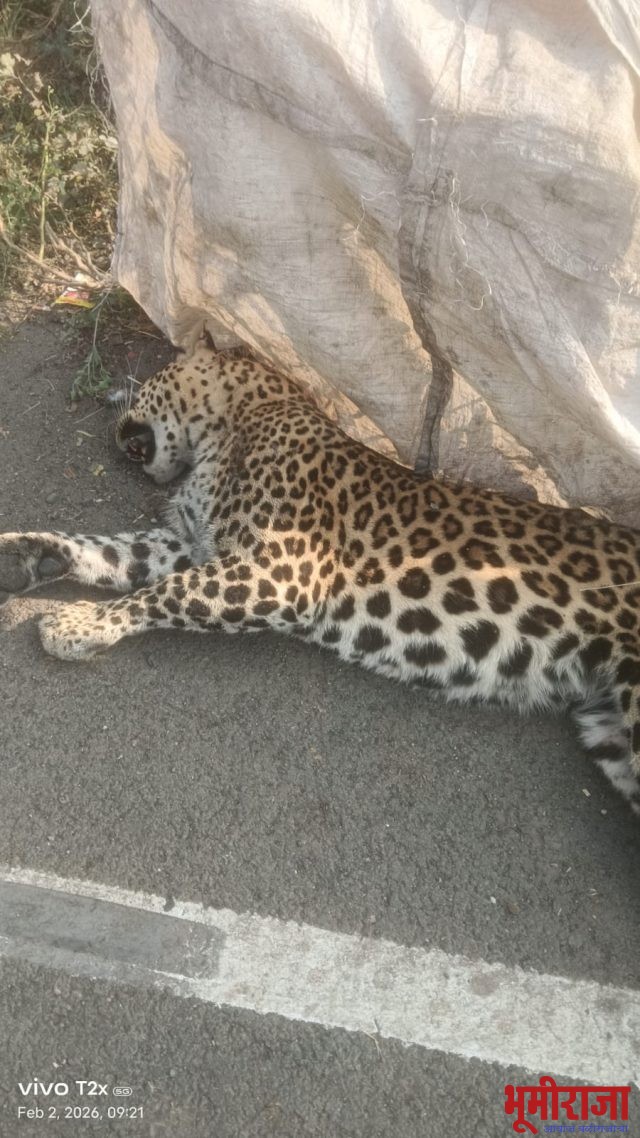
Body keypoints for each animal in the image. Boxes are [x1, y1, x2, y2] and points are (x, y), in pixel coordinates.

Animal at [2, 343, 640, 813]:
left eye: (149, 383)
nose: (114, 428)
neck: (242, 419)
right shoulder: (190, 546)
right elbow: (111, 552)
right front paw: (27, 556)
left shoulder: (279, 572)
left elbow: (162, 593)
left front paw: (81, 624)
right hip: (612, 735)